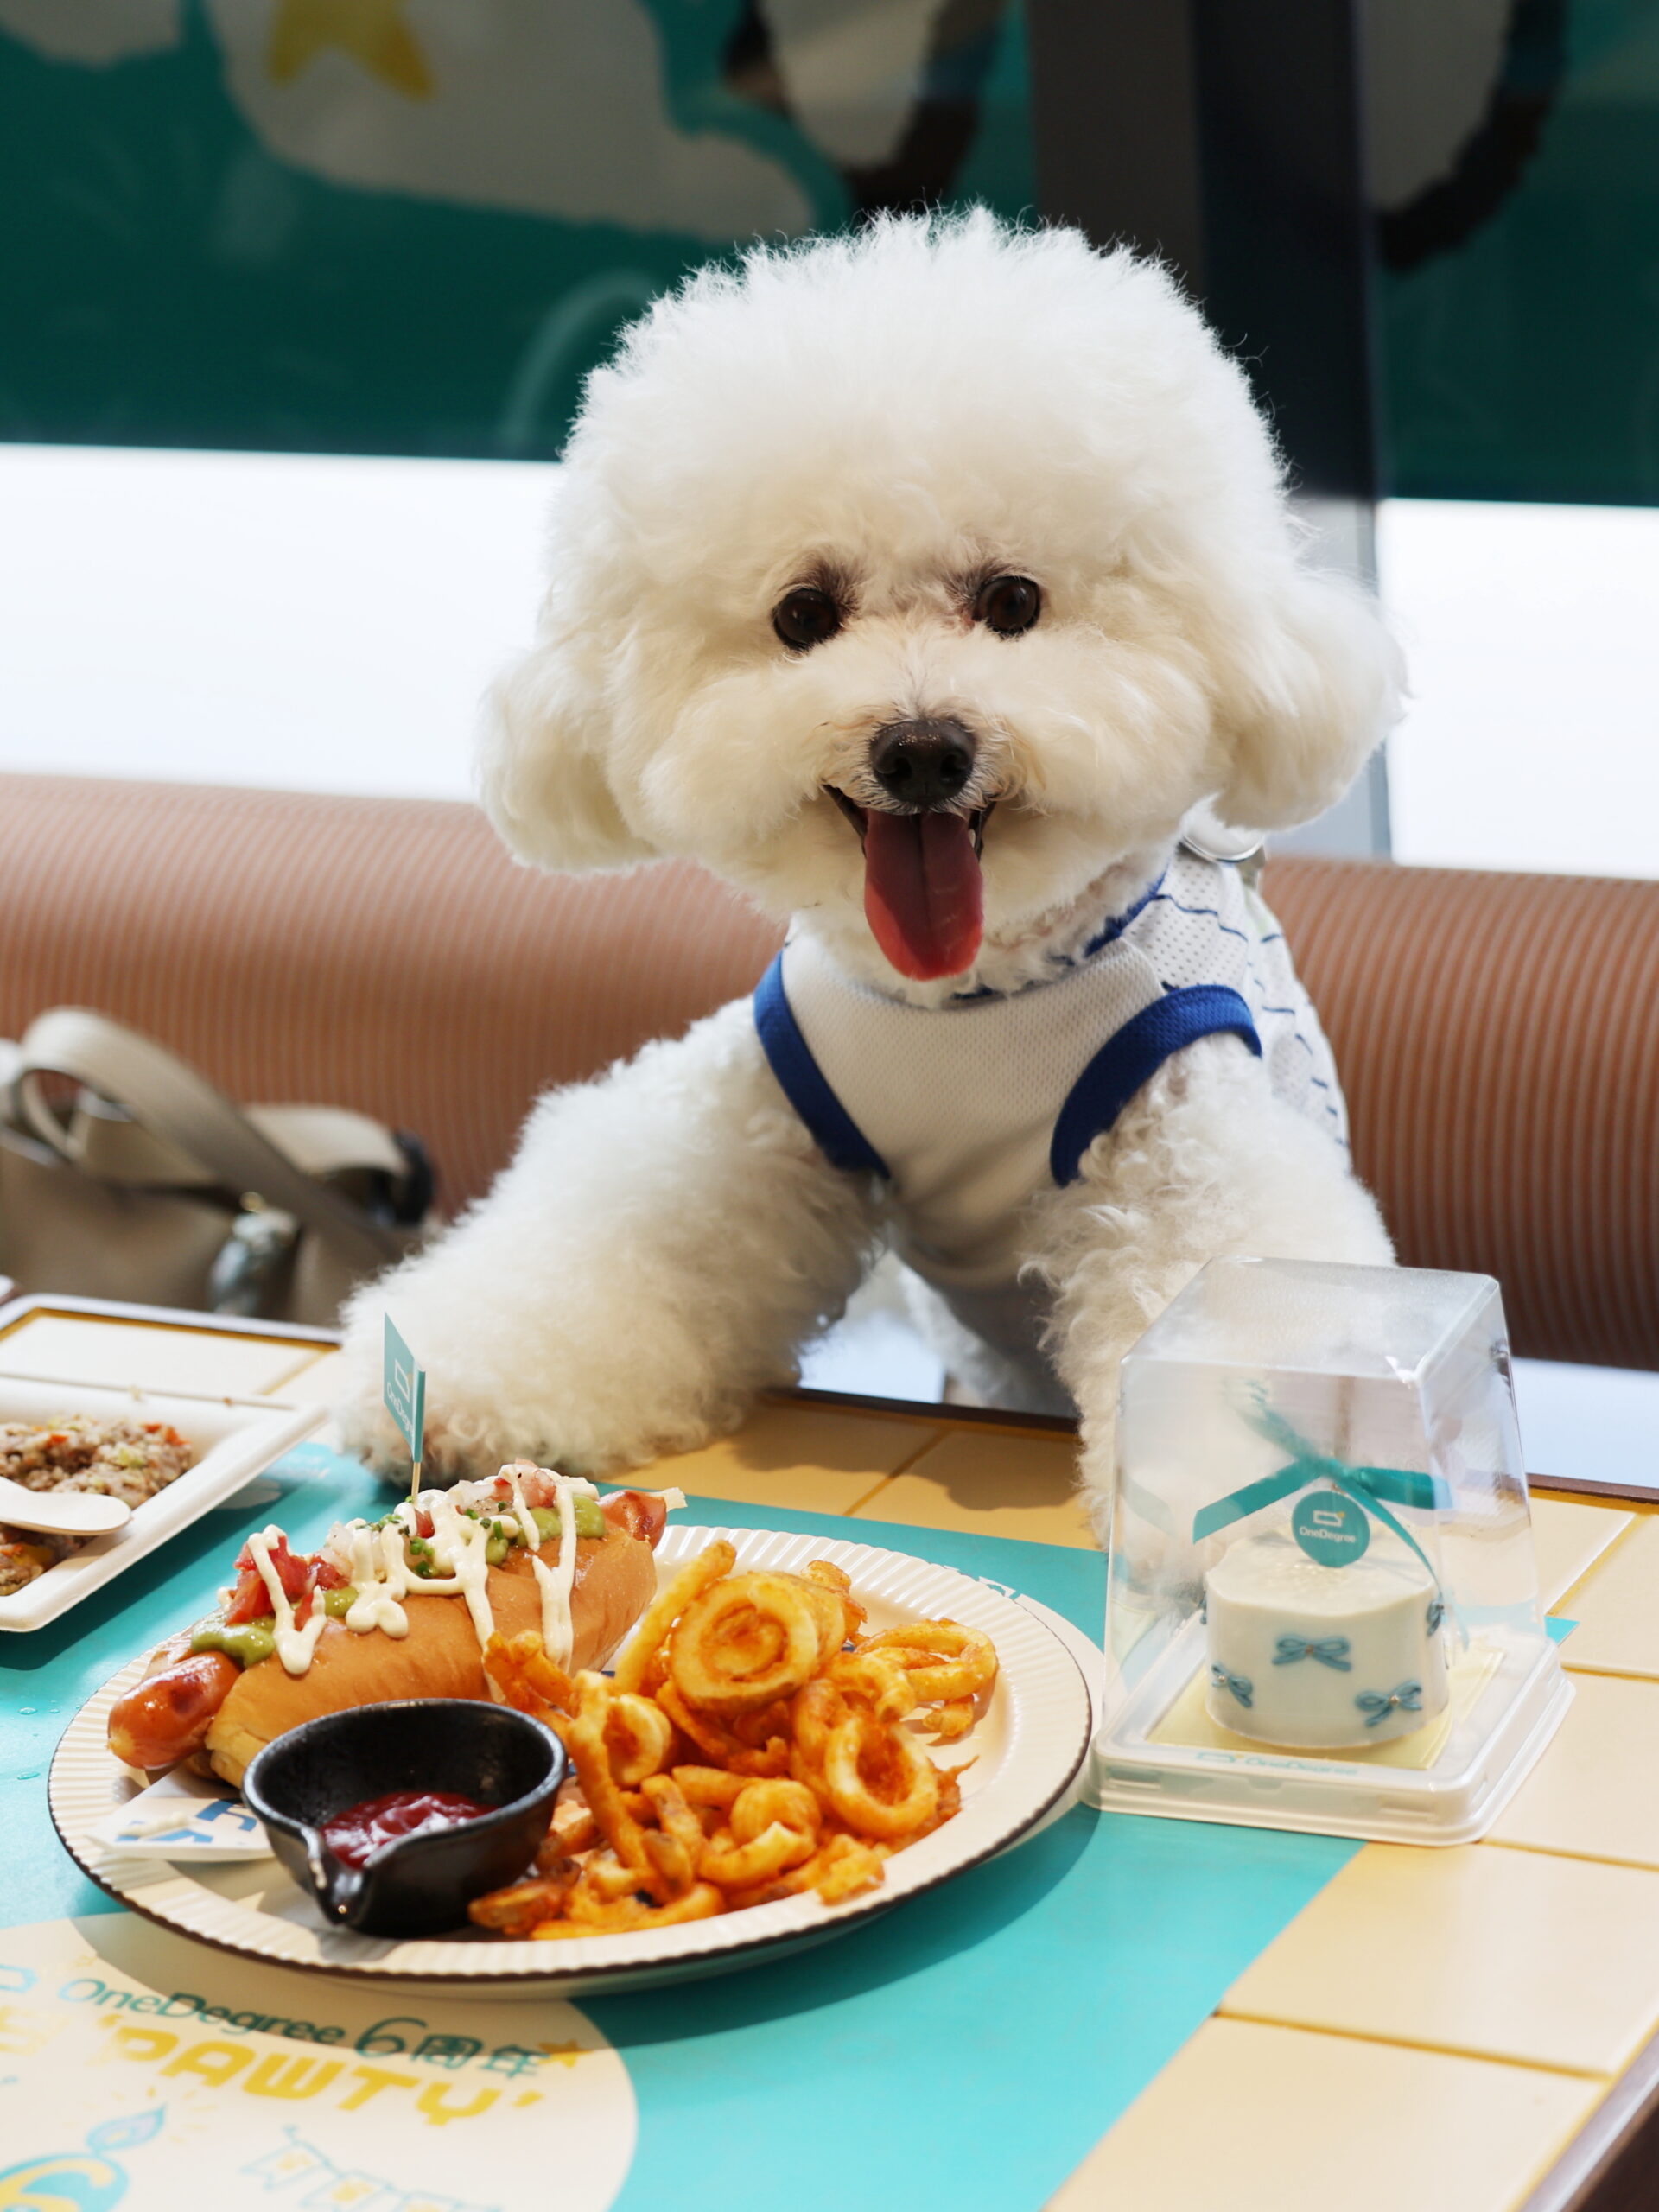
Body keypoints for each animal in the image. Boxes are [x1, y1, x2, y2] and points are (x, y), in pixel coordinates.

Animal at [334, 210, 1399, 1537]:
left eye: (1012, 600)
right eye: (803, 614)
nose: (923, 748)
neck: (968, 999)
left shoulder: (1185, 1138)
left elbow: (1214, 1294)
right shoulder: (761, 1114)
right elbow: (616, 1246)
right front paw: (452, 1386)